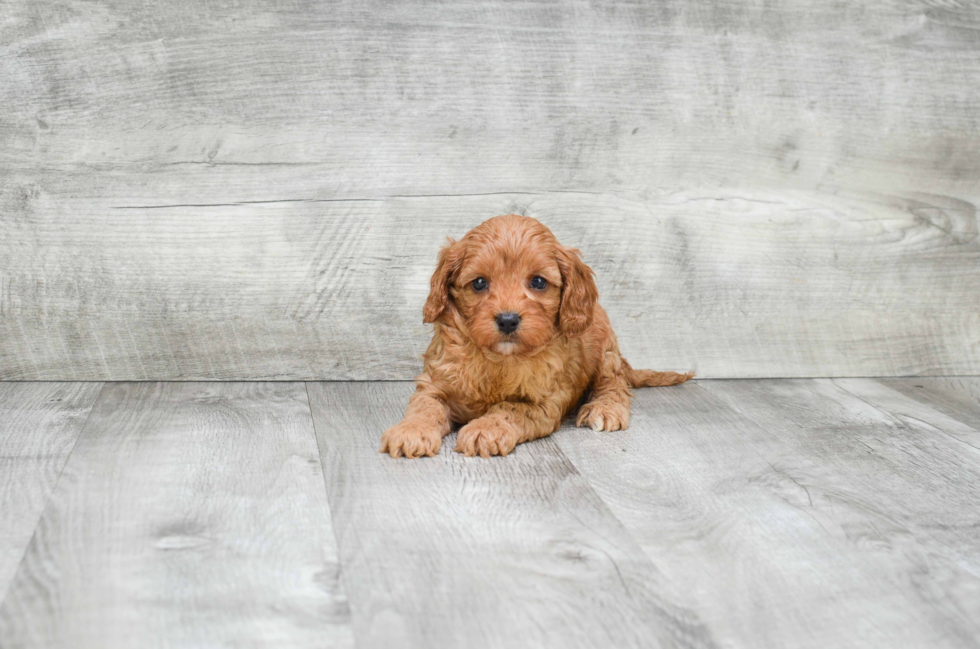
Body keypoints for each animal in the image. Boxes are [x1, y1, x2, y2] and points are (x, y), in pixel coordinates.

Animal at [378, 215, 692, 458]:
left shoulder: (544, 403)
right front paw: (410, 431)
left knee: (615, 385)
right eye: (479, 283)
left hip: (606, 352)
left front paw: (485, 428)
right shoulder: (434, 382)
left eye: (538, 282)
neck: (497, 359)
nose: (507, 319)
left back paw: (604, 408)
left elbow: (509, 408)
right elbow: (424, 406)